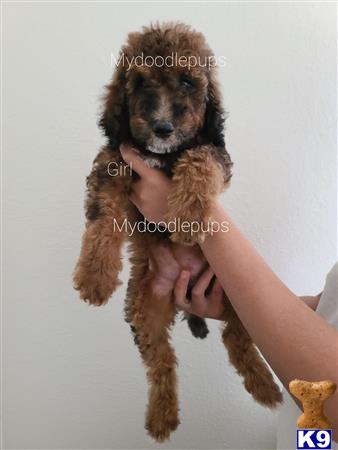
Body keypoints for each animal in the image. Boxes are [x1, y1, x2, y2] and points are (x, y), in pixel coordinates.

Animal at [74, 22, 282, 442]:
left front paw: (186, 217)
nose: (163, 128)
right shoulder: (111, 162)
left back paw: (264, 388)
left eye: (187, 81)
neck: (163, 155)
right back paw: (161, 417)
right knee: (162, 364)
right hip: (146, 311)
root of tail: (176, 295)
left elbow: (199, 159)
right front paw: (94, 277)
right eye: (140, 83)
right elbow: (103, 218)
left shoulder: (216, 153)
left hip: (235, 292)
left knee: (236, 339)